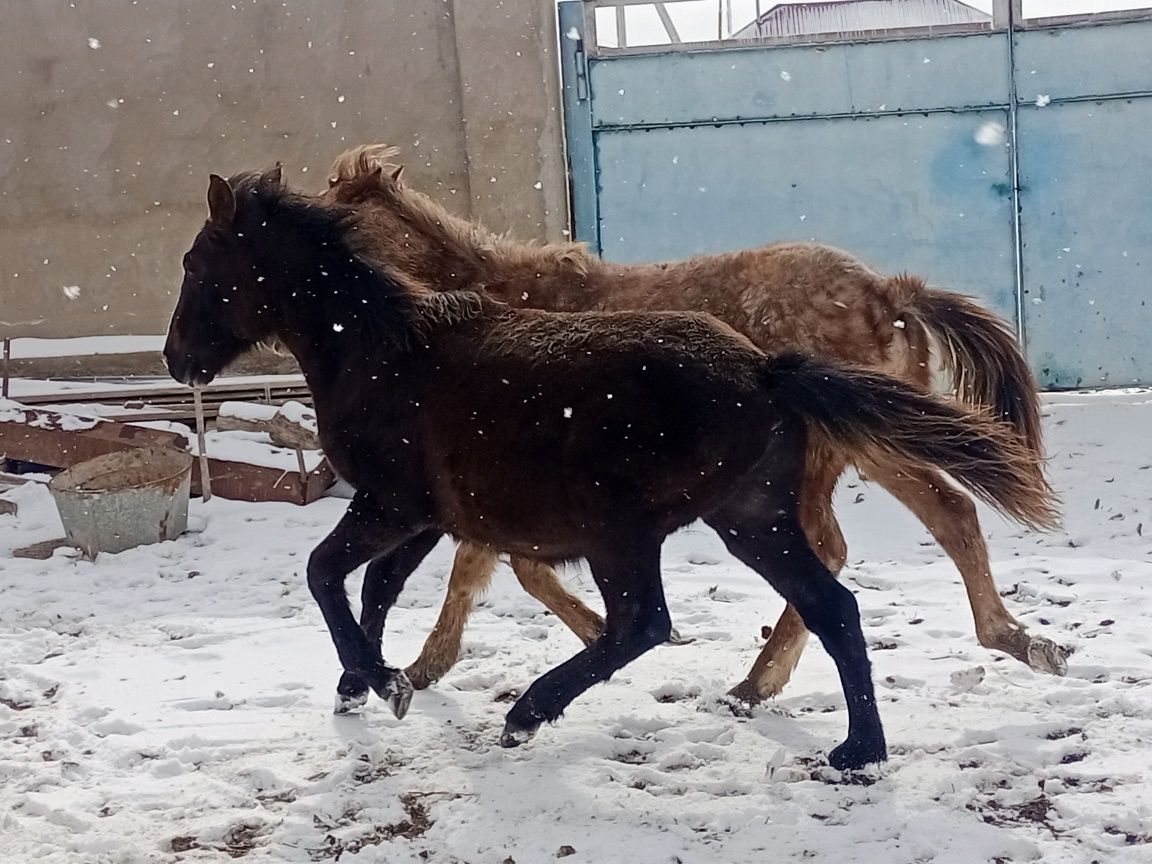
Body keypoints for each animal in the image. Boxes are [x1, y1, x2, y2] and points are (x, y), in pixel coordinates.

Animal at [167, 170, 1055, 769]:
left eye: (197, 265)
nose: (177, 360)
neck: (384, 350)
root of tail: (767, 367)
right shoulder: (430, 514)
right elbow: (383, 585)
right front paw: (375, 680)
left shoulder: (394, 504)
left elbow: (329, 574)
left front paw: (382, 679)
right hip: (751, 517)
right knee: (833, 601)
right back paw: (854, 746)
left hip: (631, 530)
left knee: (647, 621)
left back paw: (531, 712)